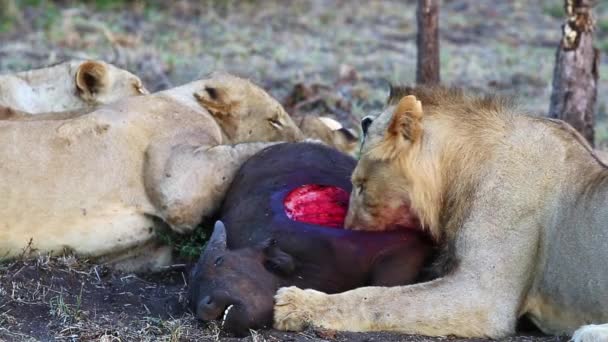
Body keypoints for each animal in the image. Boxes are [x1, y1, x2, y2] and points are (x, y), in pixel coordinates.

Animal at [276, 86, 608, 342]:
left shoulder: (482, 296)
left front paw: (296, 303)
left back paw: (588, 331)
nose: (349, 231)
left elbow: (380, 298)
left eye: (360, 185)